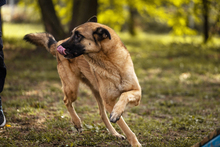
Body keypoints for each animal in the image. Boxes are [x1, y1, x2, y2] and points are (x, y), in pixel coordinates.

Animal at [23, 16, 141, 146]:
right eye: (72, 34)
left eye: (78, 36)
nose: (60, 48)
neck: (111, 64)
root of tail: (58, 41)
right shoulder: (109, 102)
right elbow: (125, 127)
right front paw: (135, 143)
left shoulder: (136, 93)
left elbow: (124, 96)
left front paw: (117, 113)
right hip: (72, 89)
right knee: (66, 101)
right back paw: (77, 123)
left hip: (96, 93)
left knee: (102, 114)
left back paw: (115, 134)